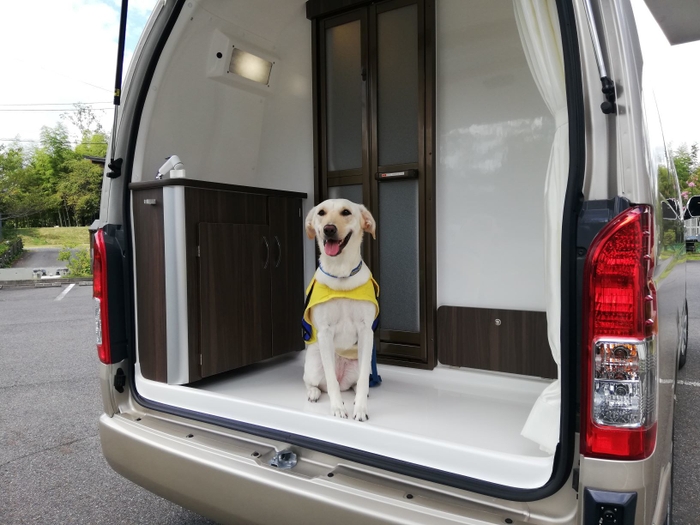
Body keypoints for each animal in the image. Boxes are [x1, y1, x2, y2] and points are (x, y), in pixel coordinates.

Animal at [300, 199, 378, 420]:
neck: (341, 274)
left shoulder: (366, 331)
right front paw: (337, 408)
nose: (329, 229)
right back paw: (314, 393)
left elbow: (362, 381)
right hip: (313, 364)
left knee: (357, 382)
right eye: (321, 213)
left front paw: (360, 409)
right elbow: (330, 380)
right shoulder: (325, 332)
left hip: (361, 363)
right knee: (316, 382)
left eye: (346, 212)